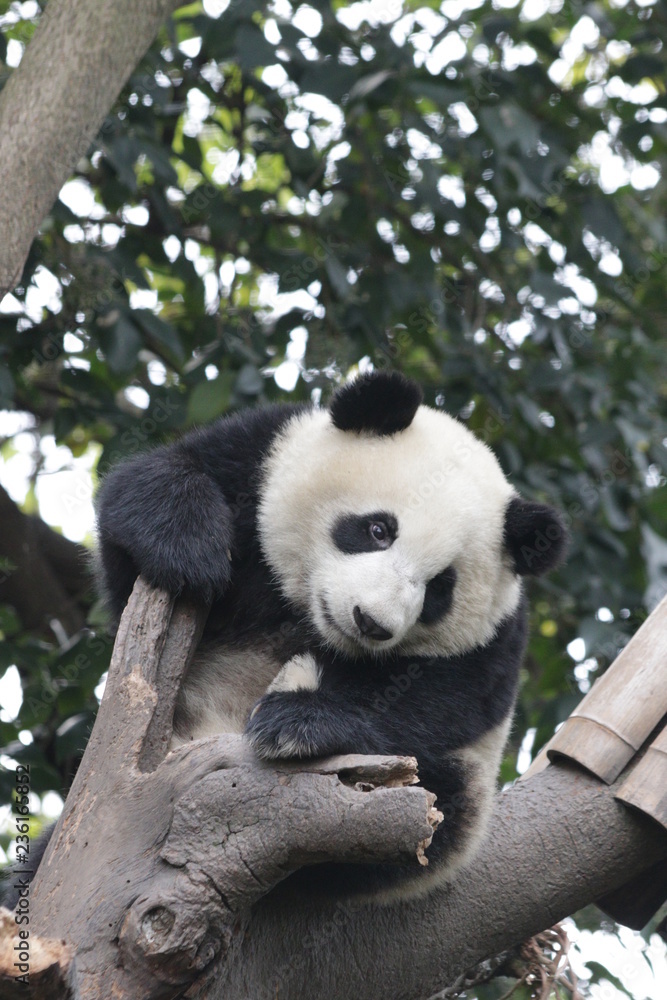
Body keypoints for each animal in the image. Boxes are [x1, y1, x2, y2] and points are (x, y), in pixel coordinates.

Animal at [93, 370, 567, 899]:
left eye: (440, 587)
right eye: (378, 529)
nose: (371, 622)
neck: (307, 621)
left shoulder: (497, 639)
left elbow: (443, 700)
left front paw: (297, 723)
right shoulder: (259, 456)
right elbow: (149, 495)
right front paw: (187, 550)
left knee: (444, 795)